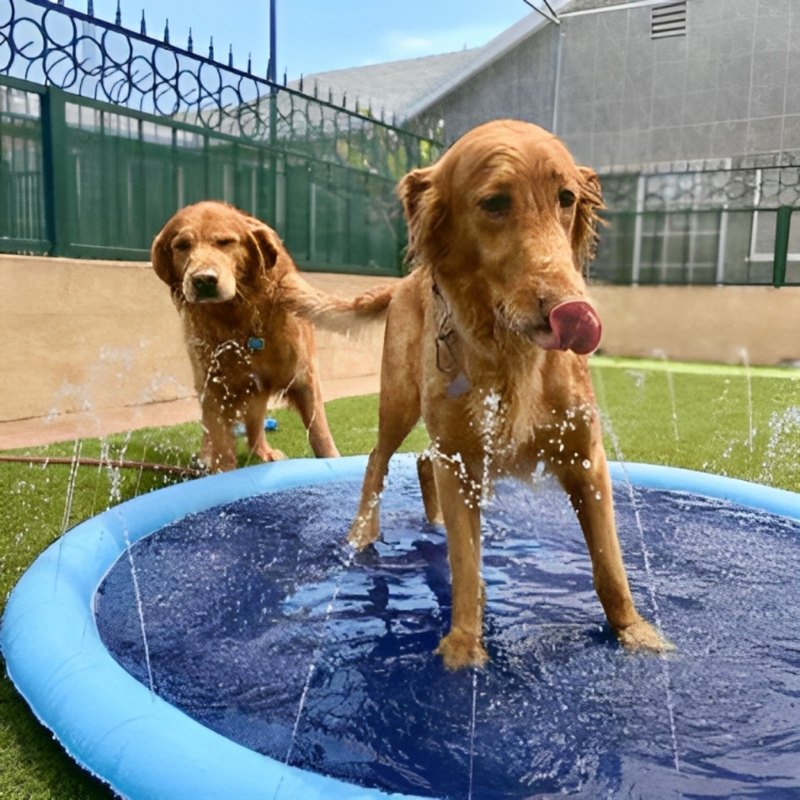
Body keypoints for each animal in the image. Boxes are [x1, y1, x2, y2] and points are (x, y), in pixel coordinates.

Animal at [153, 203, 390, 472]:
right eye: (182, 245)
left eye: (225, 242)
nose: (203, 280)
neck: (239, 316)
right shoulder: (214, 384)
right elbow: (221, 443)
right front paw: (221, 471)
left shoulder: (303, 377)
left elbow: (320, 434)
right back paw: (207, 457)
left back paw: (263, 452)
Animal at [350, 119, 676, 668]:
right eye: (495, 203)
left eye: (566, 198)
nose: (573, 310)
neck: (511, 353)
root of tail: (404, 281)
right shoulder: (461, 460)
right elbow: (465, 566)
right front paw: (463, 648)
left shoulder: (586, 456)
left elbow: (609, 565)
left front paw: (636, 633)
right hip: (400, 399)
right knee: (379, 457)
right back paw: (361, 534)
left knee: (422, 460)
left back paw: (430, 522)